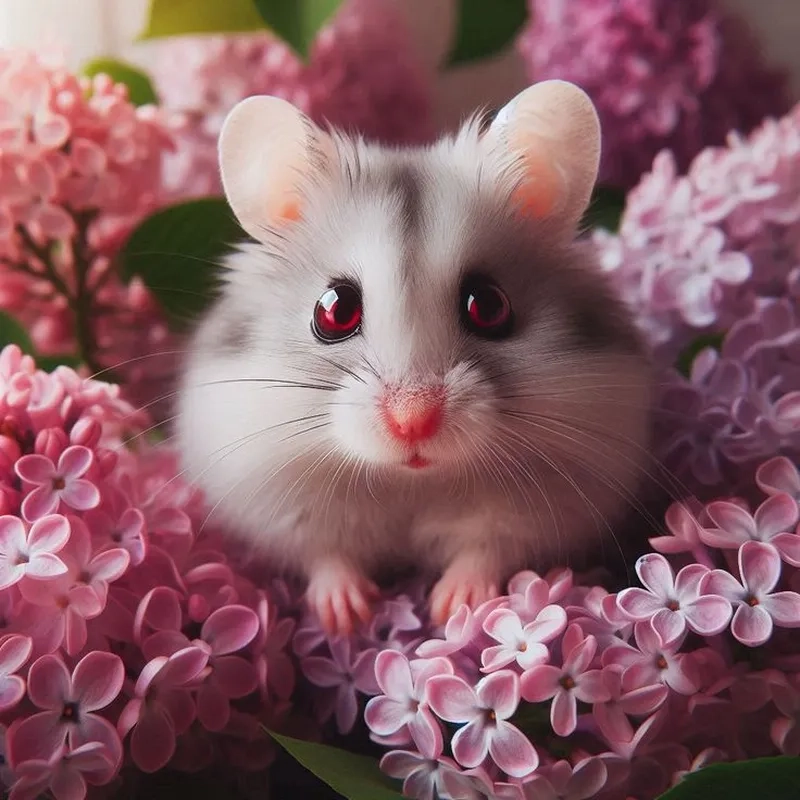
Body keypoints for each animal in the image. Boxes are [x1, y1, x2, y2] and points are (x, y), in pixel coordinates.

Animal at [175, 80, 653, 636]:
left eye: (489, 305)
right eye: (335, 310)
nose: (413, 422)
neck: (410, 482)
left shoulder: (546, 509)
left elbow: (486, 550)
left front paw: (454, 609)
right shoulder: (278, 505)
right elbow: (326, 555)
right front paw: (348, 616)